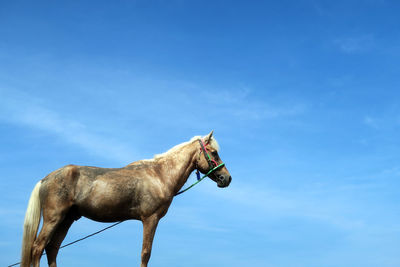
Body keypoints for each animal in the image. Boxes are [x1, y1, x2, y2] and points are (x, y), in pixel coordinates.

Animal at [20, 132, 231, 267]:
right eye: (214, 152)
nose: (226, 178)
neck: (160, 175)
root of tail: (45, 179)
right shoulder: (150, 219)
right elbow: (145, 253)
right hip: (54, 218)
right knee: (38, 247)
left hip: (67, 220)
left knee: (52, 249)